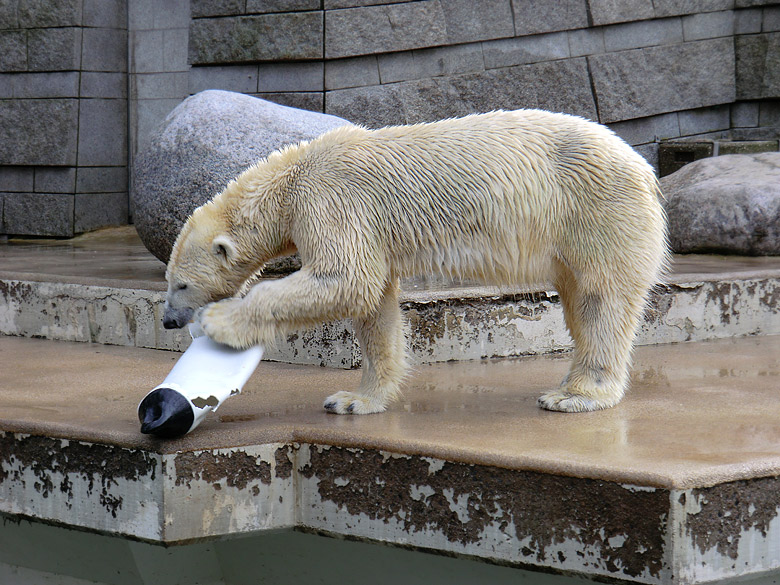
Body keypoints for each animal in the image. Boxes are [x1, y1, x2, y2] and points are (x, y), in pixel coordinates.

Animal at [161, 109, 668, 416]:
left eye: (180, 285)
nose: (168, 320)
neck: (291, 176)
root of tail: (644, 169)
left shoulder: (329, 201)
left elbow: (343, 278)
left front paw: (220, 320)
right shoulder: (364, 228)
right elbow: (374, 304)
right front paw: (354, 399)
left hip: (597, 211)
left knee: (602, 298)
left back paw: (574, 395)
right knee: (579, 299)